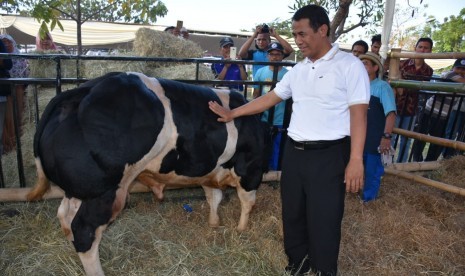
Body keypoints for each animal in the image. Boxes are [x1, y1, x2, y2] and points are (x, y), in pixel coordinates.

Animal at [28, 72, 268, 274]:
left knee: (65, 216)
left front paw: (214, 223)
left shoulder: (209, 172)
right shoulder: (250, 170)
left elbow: (214, 198)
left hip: (81, 188)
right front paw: (241, 229)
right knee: (84, 230)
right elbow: (247, 202)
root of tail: (81, 91)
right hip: (105, 192)